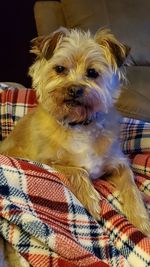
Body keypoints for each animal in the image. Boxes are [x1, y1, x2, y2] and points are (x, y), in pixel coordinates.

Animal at [0, 27, 150, 267]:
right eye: (60, 69)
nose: (74, 89)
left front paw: (141, 219)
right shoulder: (46, 161)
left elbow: (131, 187)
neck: (79, 125)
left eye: (92, 72)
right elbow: (77, 171)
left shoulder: (119, 163)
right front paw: (91, 200)